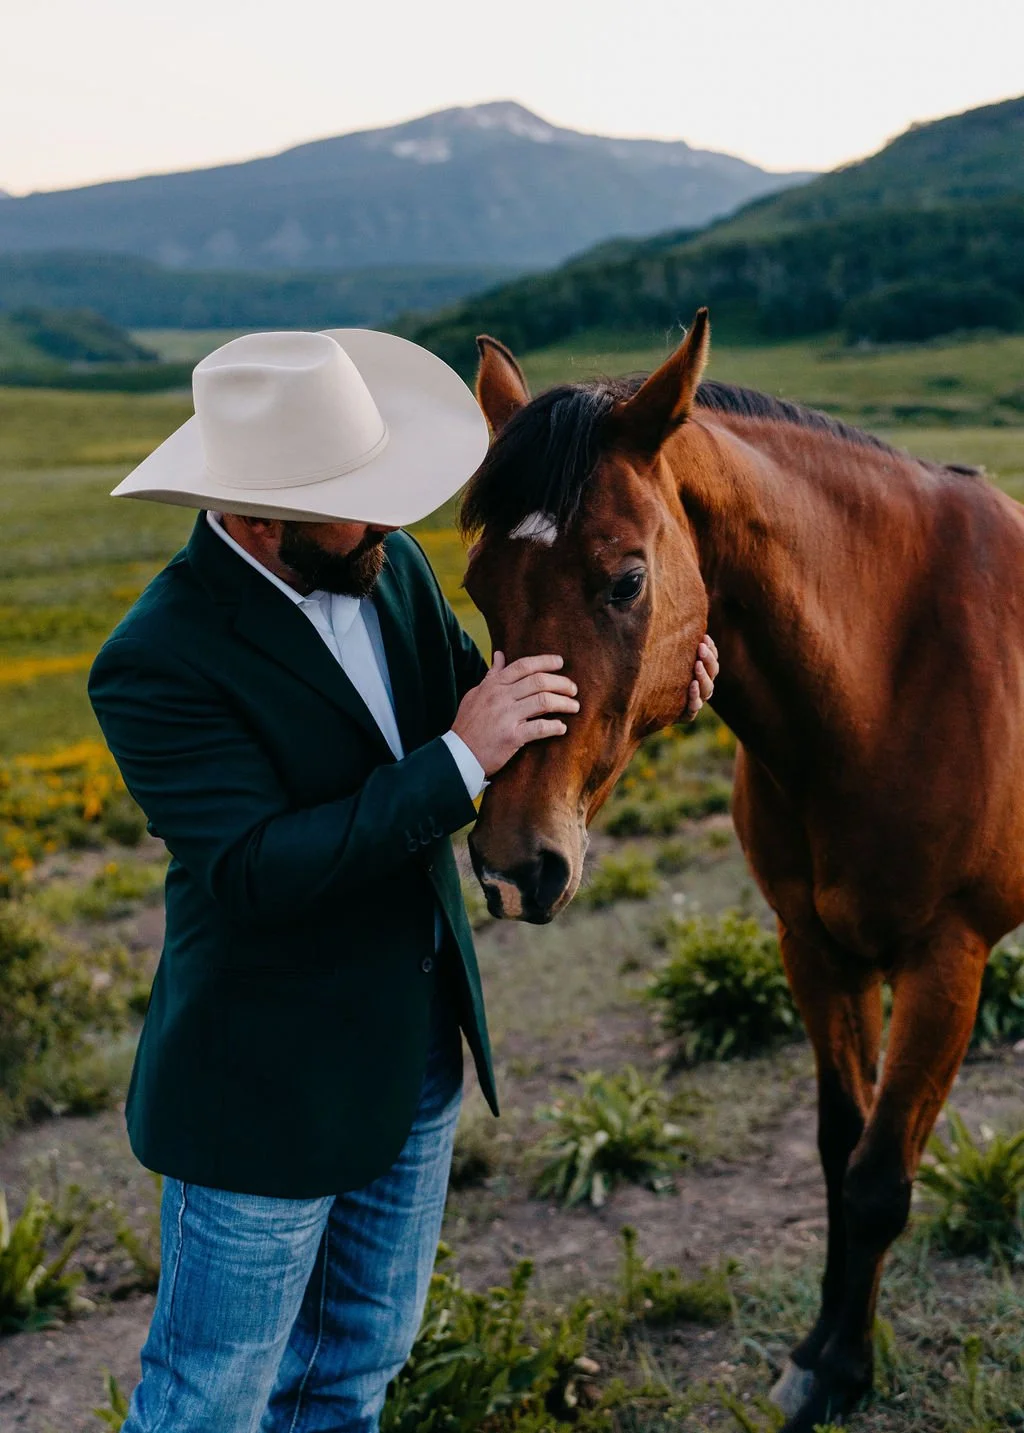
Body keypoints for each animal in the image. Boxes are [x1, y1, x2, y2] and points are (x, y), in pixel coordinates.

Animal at [459, 310, 1024, 1432]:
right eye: (476, 586)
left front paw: (839, 1366)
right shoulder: (814, 948)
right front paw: (823, 1347)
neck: (890, 674)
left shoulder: (949, 960)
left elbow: (879, 1176)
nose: (511, 862)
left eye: (626, 578)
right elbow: (838, 1148)